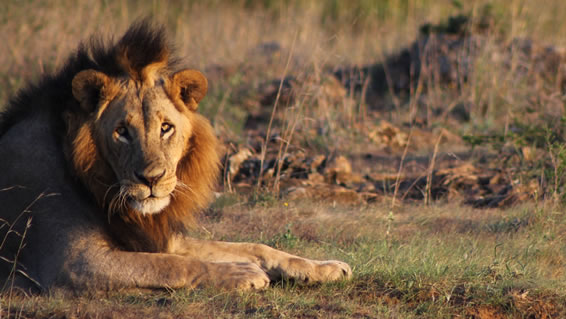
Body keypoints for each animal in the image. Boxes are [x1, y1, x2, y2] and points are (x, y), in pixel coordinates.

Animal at [0, 20, 352, 296]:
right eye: (122, 131)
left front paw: (324, 267)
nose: (152, 179)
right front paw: (242, 272)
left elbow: (253, 247)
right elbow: (169, 264)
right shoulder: (73, 262)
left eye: (166, 127)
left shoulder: (157, 236)